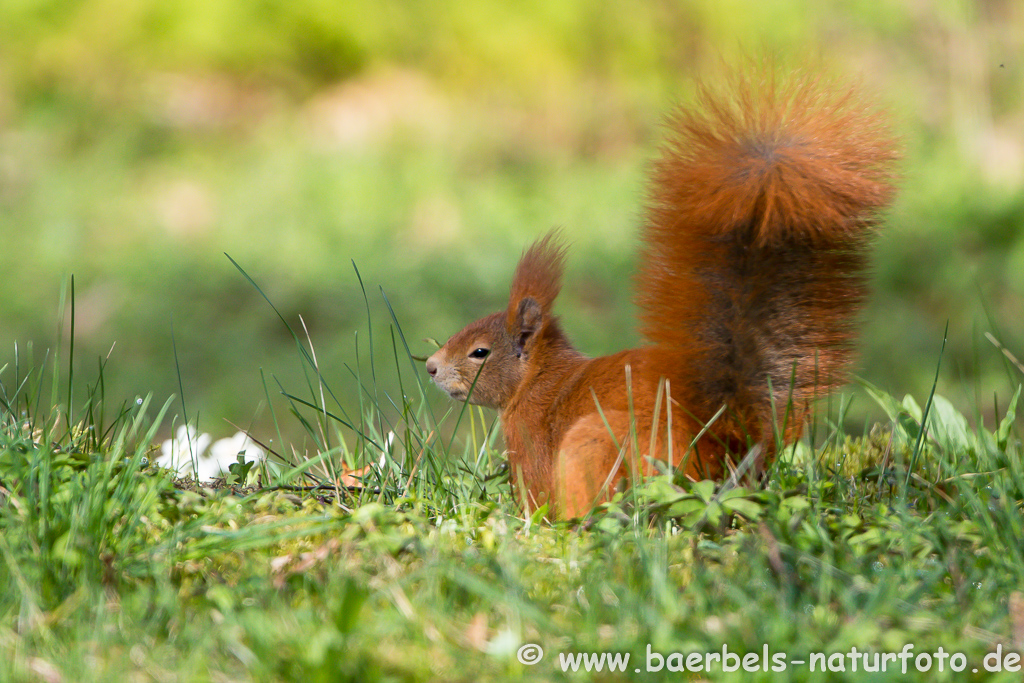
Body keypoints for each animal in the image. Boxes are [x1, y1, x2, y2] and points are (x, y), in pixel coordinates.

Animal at [423, 68, 897, 518]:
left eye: (479, 352)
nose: (429, 367)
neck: (538, 378)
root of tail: (721, 446)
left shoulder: (532, 439)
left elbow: (536, 495)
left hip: (597, 442)